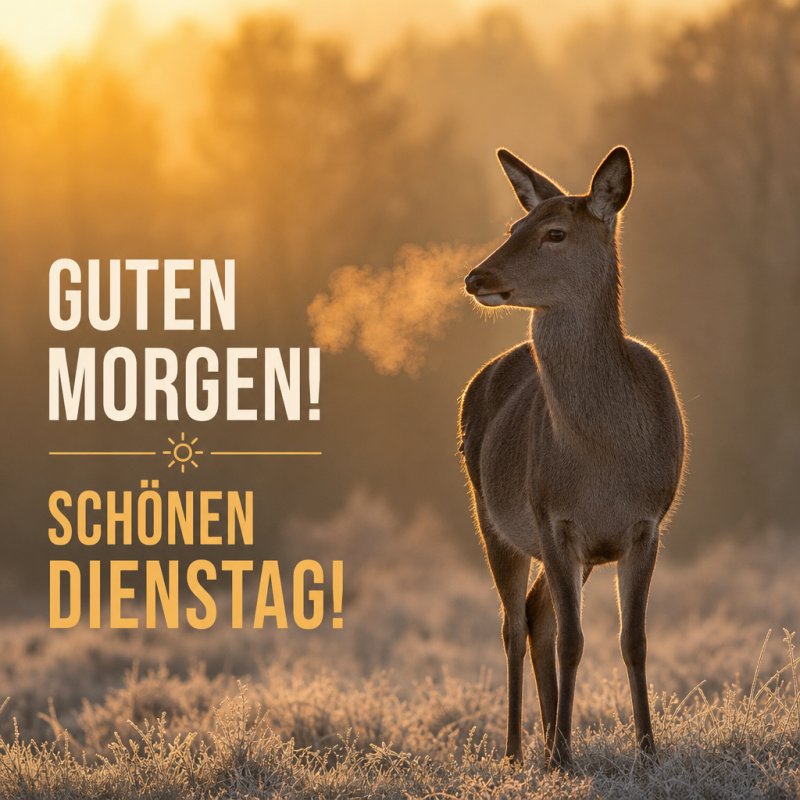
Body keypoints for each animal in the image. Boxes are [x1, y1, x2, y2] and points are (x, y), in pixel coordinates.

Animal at [458, 146, 685, 769]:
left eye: (554, 232)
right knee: (515, 624)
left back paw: (545, 740)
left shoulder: (646, 524)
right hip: (491, 518)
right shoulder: (552, 518)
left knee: (536, 617)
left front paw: (648, 750)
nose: (476, 276)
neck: (604, 460)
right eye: (514, 228)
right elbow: (573, 640)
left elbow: (633, 640)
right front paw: (563, 753)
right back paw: (519, 751)